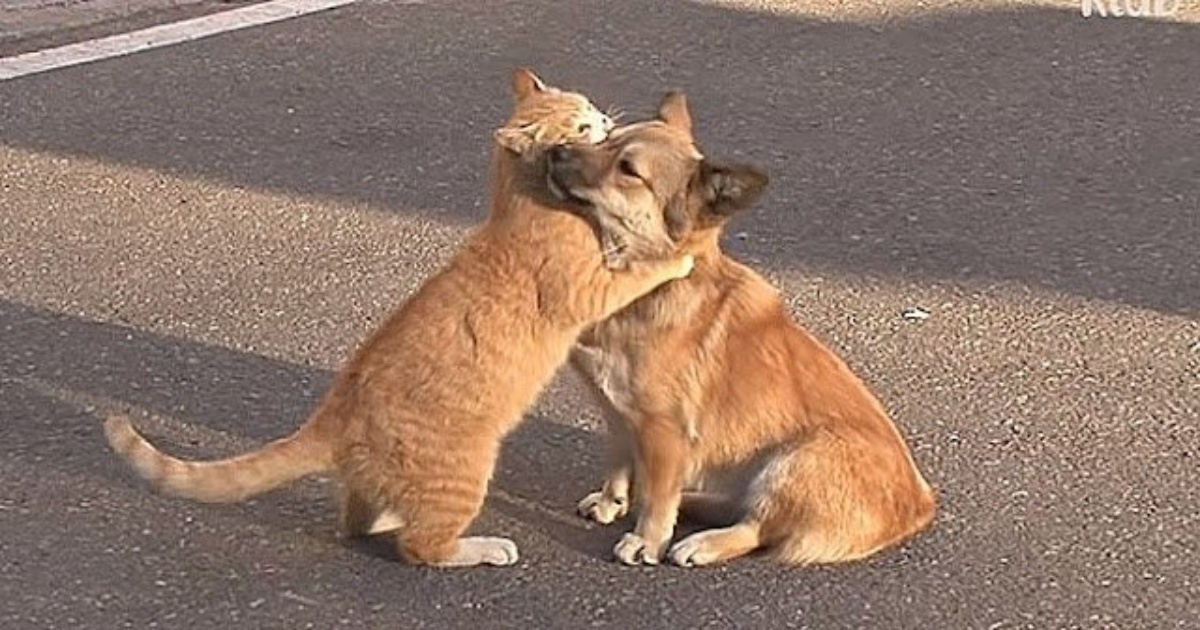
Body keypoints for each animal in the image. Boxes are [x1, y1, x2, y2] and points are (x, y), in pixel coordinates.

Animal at [103, 69, 696, 568]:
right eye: (581, 126)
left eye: (590, 109)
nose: (606, 120)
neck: (521, 199)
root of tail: (333, 417)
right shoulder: (591, 288)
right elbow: (641, 269)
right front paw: (678, 257)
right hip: (465, 475)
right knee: (422, 547)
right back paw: (483, 547)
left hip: (376, 488)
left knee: (356, 524)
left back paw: (385, 518)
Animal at [549, 92, 936, 564]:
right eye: (607, 138)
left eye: (628, 169)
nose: (555, 151)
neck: (651, 283)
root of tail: (920, 504)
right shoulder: (619, 415)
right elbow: (619, 465)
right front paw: (612, 501)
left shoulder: (664, 431)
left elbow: (659, 498)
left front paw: (647, 540)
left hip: (795, 460)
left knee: (757, 527)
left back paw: (701, 542)